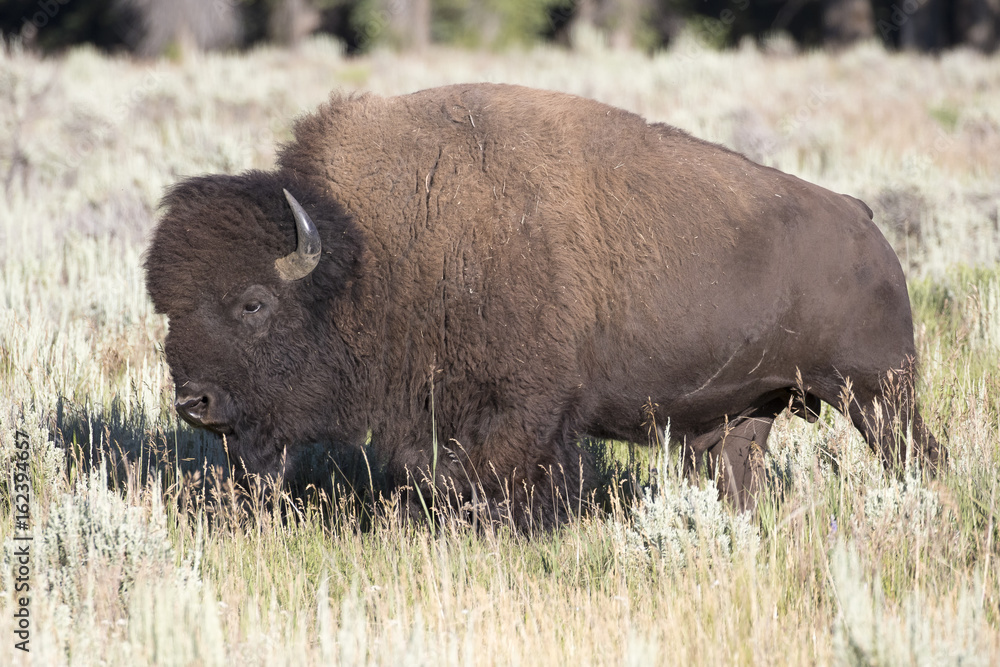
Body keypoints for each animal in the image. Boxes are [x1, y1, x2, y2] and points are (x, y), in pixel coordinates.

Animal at [143, 82, 944, 520]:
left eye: (253, 303)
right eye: (166, 308)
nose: (194, 403)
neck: (374, 246)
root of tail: (864, 220)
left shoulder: (521, 410)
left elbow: (491, 478)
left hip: (877, 393)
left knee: (917, 456)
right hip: (748, 416)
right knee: (740, 474)